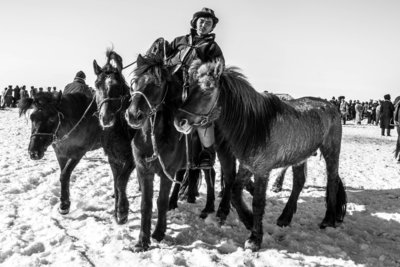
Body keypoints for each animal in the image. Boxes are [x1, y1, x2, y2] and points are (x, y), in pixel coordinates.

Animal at [18, 91, 135, 225]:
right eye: (32, 117)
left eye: (52, 118)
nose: (34, 152)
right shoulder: (61, 154)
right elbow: (63, 176)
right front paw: (64, 202)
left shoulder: (77, 153)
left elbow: (64, 175)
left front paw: (64, 205)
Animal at [124, 48, 238, 251]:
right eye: (135, 81)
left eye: (157, 83)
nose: (133, 115)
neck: (153, 137)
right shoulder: (144, 171)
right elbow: (146, 204)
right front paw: (142, 241)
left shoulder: (165, 172)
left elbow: (160, 202)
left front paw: (159, 233)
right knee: (207, 174)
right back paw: (200, 206)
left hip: (224, 153)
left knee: (225, 176)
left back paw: (217, 210)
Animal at [175, 60, 346, 251]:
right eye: (189, 88)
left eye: (207, 89)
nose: (179, 121)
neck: (255, 125)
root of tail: (331, 106)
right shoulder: (247, 165)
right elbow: (234, 192)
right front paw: (249, 221)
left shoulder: (262, 169)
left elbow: (258, 202)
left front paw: (254, 238)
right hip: (299, 156)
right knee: (299, 182)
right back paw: (285, 217)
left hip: (331, 149)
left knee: (332, 180)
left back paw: (328, 219)